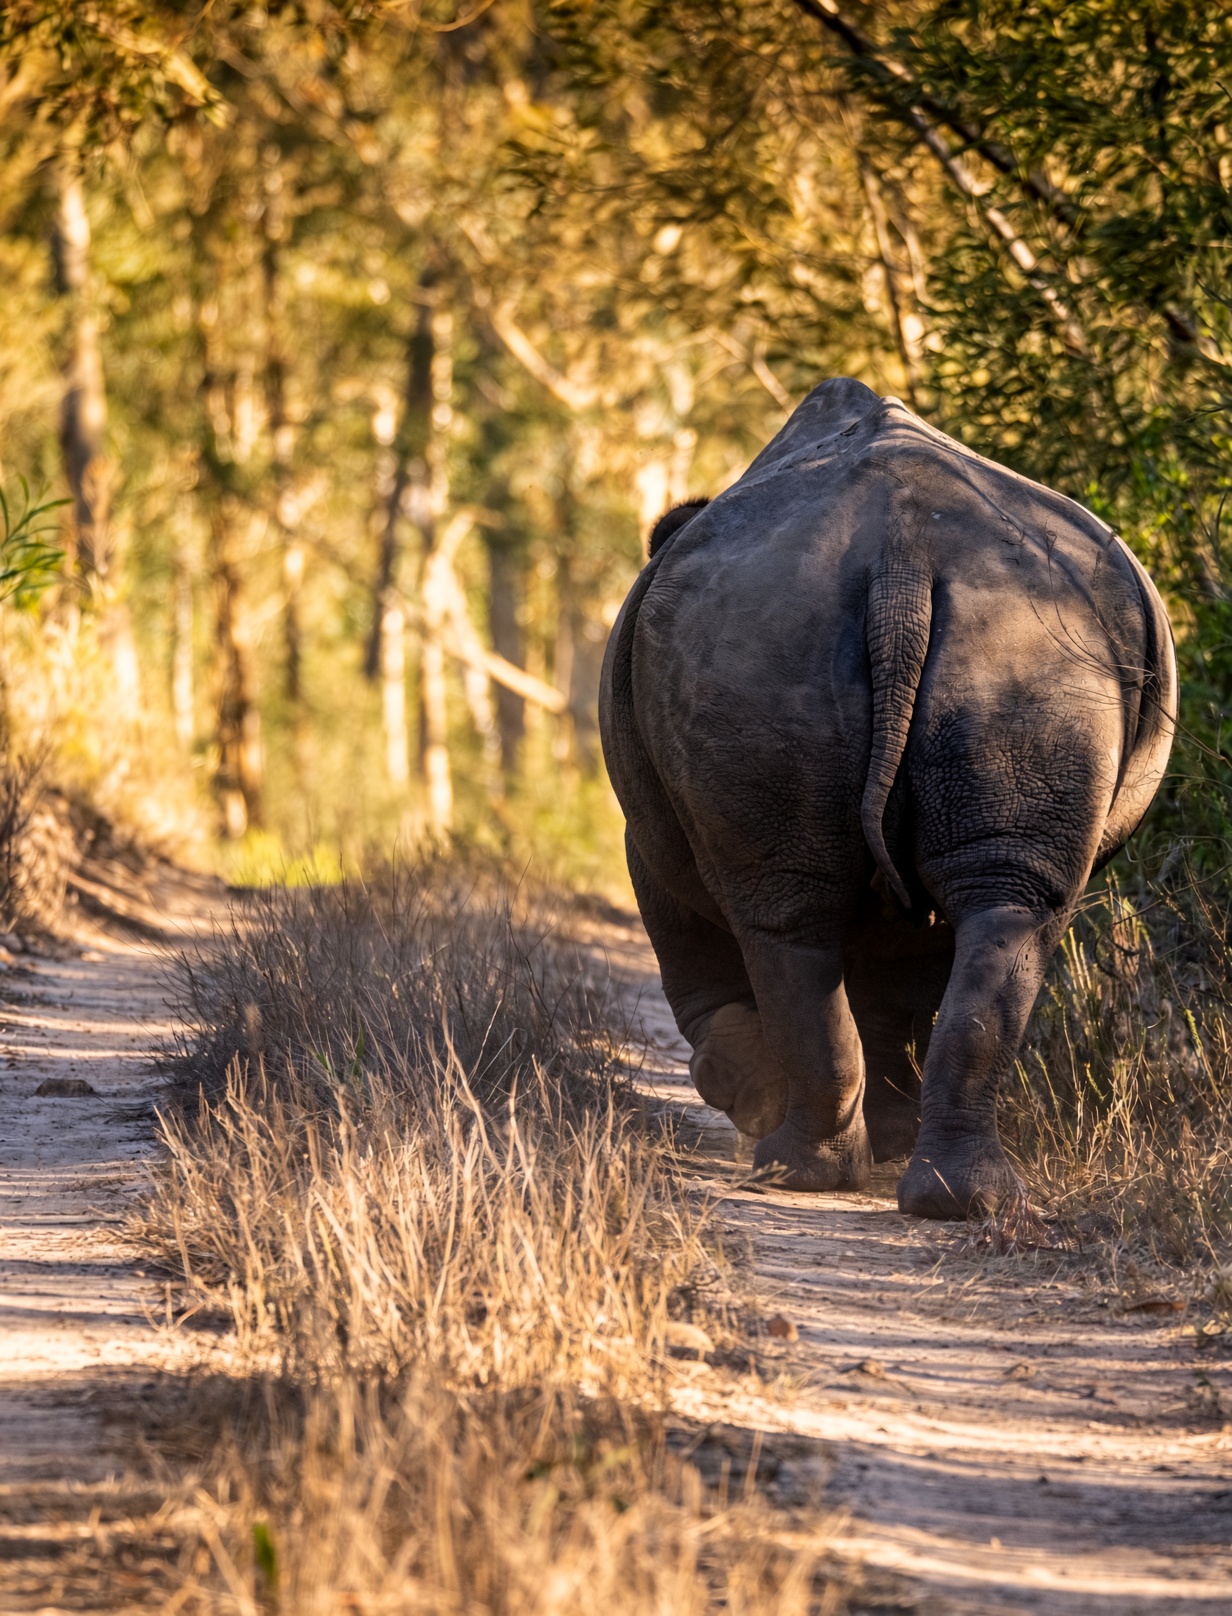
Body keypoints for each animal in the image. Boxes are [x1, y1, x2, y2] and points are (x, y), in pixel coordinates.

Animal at [600, 378, 1176, 1218]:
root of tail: (902, 558)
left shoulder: (643, 837)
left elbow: (694, 953)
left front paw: (747, 1095)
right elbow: (896, 991)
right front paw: (885, 1135)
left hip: (764, 633)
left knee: (786, 915)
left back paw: (791, 1170)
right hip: (1022, 644)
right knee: (1005, 907)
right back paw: (955, 1197)